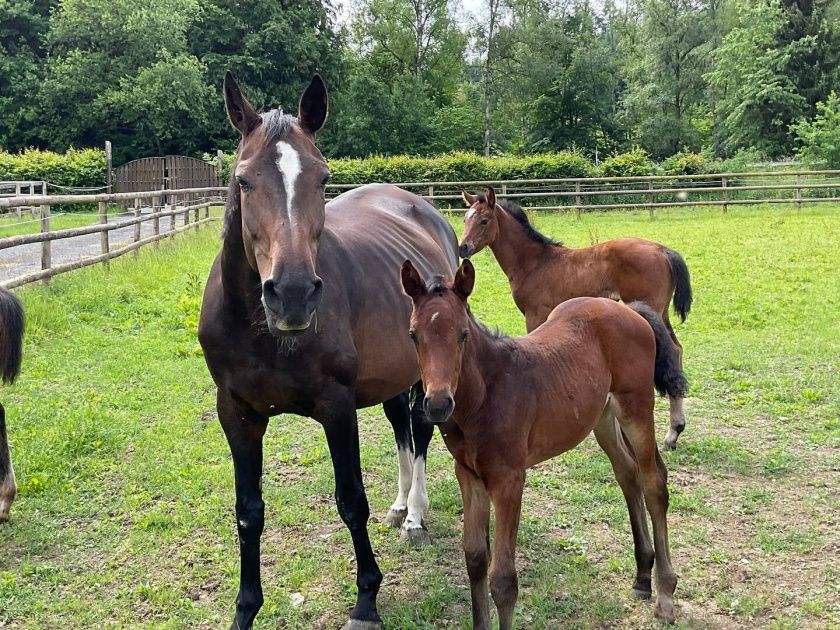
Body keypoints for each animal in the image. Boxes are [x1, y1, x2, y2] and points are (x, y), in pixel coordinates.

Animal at [398, 260, 684, 628]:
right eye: (413, 335)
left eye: (462, 333)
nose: (437, 404)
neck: (485, 396)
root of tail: (629, 310)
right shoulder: (468, 474)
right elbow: (475, 559)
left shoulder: (509, 480)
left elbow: (503, 580)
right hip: (603, 418)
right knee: (628, 474)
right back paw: (642, 577)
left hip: (635, 410)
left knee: (653, 482)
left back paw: (665, 595)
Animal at [460, 188, 688, 450]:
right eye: (465, 218)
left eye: (484, 220)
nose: (463, 248)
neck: (534, 262)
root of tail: (662, 250)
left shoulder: (535, 313)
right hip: (661, 313)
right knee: (676, 349)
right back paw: (674, 432)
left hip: (652, 308)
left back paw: (672, 432)